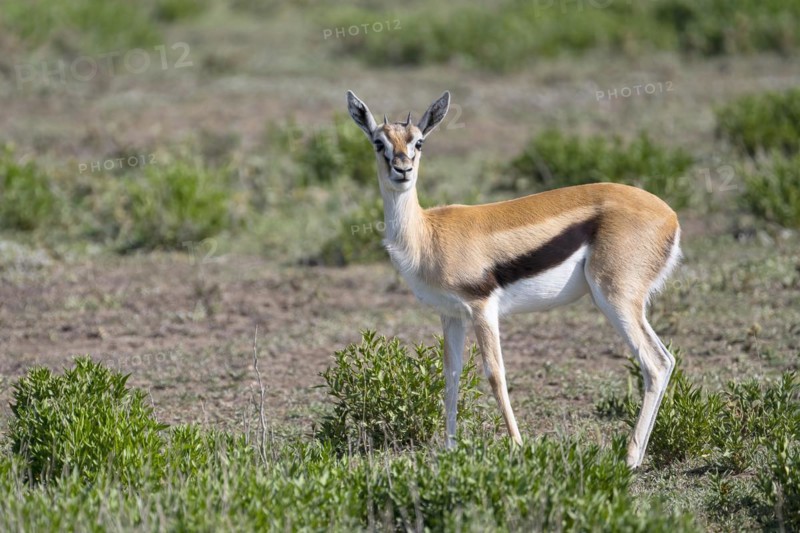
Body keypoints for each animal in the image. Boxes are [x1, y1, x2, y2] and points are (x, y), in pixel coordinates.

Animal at [346, 90, 681, 468]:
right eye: (379, 142)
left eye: (419, 142)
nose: (402, 170)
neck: (427, 234)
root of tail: (670, 216)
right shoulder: (451, 315)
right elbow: (450, 376)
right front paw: (449, 449)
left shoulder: (482, 308)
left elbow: (495, 375)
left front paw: (518, 446)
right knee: (666, 361)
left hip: (615, 298)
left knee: (654, 363)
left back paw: (629, 459)